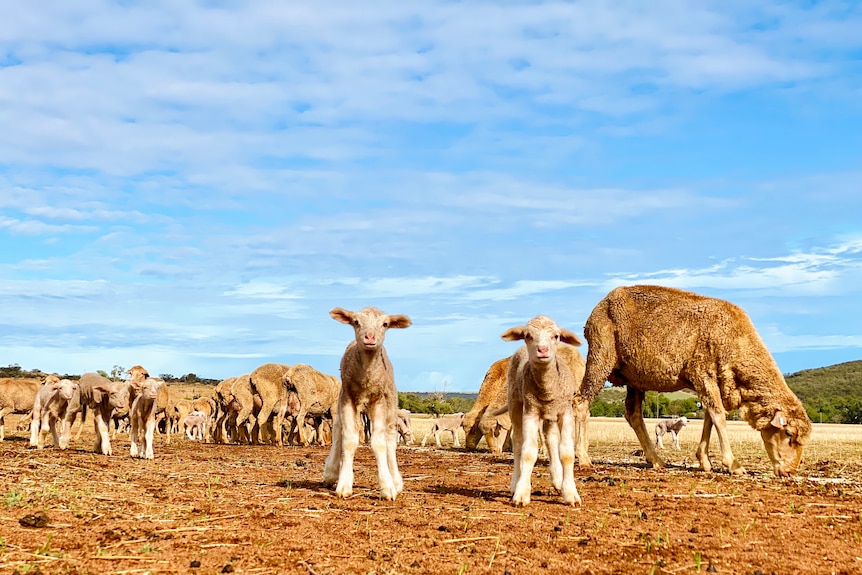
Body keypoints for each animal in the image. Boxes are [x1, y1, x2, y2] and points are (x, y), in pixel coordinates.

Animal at [328, 306, 416, 500]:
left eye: (385, 324)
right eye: (356, 322)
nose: (369, 337)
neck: (366, 378)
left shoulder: (379, 400)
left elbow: (380, 443)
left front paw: (387, 487)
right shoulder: (348, 397)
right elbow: (349, 439)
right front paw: (344, 484)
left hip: (391, 404)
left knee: (390, 439)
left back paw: (396, 481)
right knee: (338, 428)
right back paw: (330, 472)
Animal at [502, 316, 584, 508]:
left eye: (556, 336)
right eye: (528, 335)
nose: (543, 350)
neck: (547, 388)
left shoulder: (566, 412)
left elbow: (567, 453)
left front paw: (570, 493)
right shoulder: (530, 411)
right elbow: (528, 452)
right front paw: (521, 494)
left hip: (551, 414)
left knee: (551, 439)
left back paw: (557, 480)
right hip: (515, 403)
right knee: (518, 442)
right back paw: (516, 483)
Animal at [576, 286, 812, 480]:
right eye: (789, 434)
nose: (790, 472)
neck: (735, 340)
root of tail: (599, 307)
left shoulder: (713, 382)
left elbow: (709, 418)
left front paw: (704, 461)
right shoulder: (702, 373)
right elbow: (719, 417)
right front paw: (733, 465)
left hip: (635, 377)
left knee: (633, 414)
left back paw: (656, 461)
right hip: (601, 356)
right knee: (581, 402)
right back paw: (584, 458)